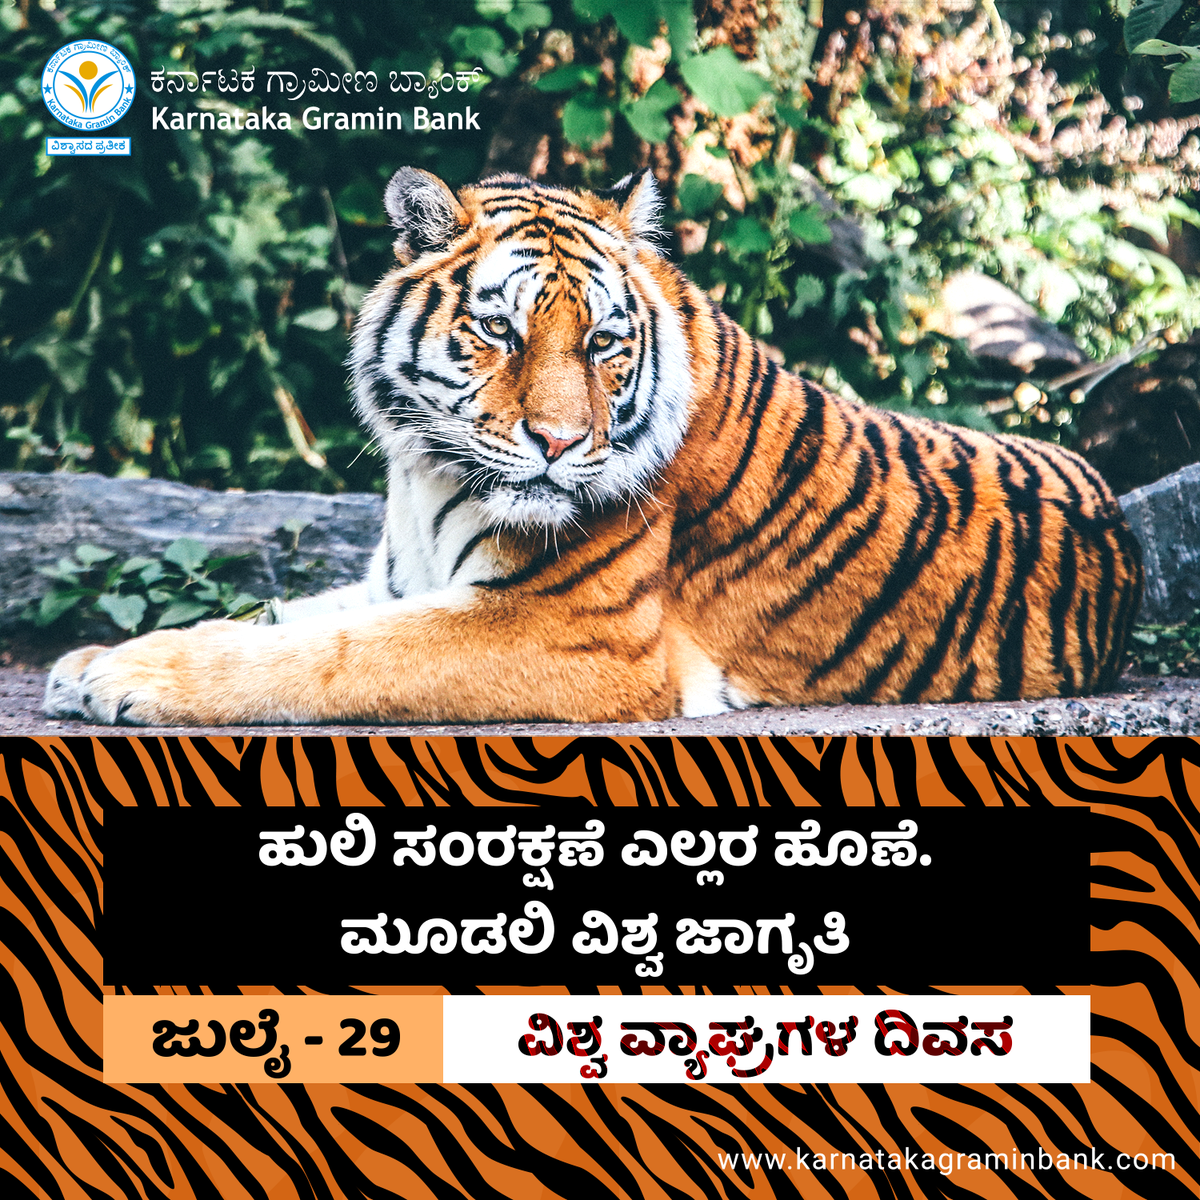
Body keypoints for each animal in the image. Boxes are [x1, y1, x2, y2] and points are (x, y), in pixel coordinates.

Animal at [43, 168, 1143, 726]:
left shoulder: (566, 632)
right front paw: (92, 660)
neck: (425, 475)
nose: (561, 441)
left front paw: (129, 681)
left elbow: (328, 656)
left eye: (605, 342)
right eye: (500, 330)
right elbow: (277, 616)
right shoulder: (397, 581)